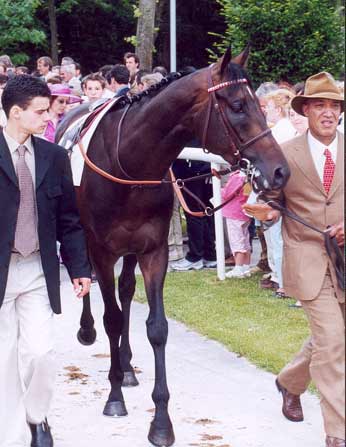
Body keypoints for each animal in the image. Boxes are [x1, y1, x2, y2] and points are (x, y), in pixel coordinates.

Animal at [56, 47, 290, 446]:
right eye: (238, 105)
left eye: (261, 104)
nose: (279, 171)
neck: (130, 162)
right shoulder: (102, 250)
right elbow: (112, 317)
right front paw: (114, 397)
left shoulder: (153, 251)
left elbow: (156, 327)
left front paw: (161, 421)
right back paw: (88, 332)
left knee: (125, 289)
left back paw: (127, 364)